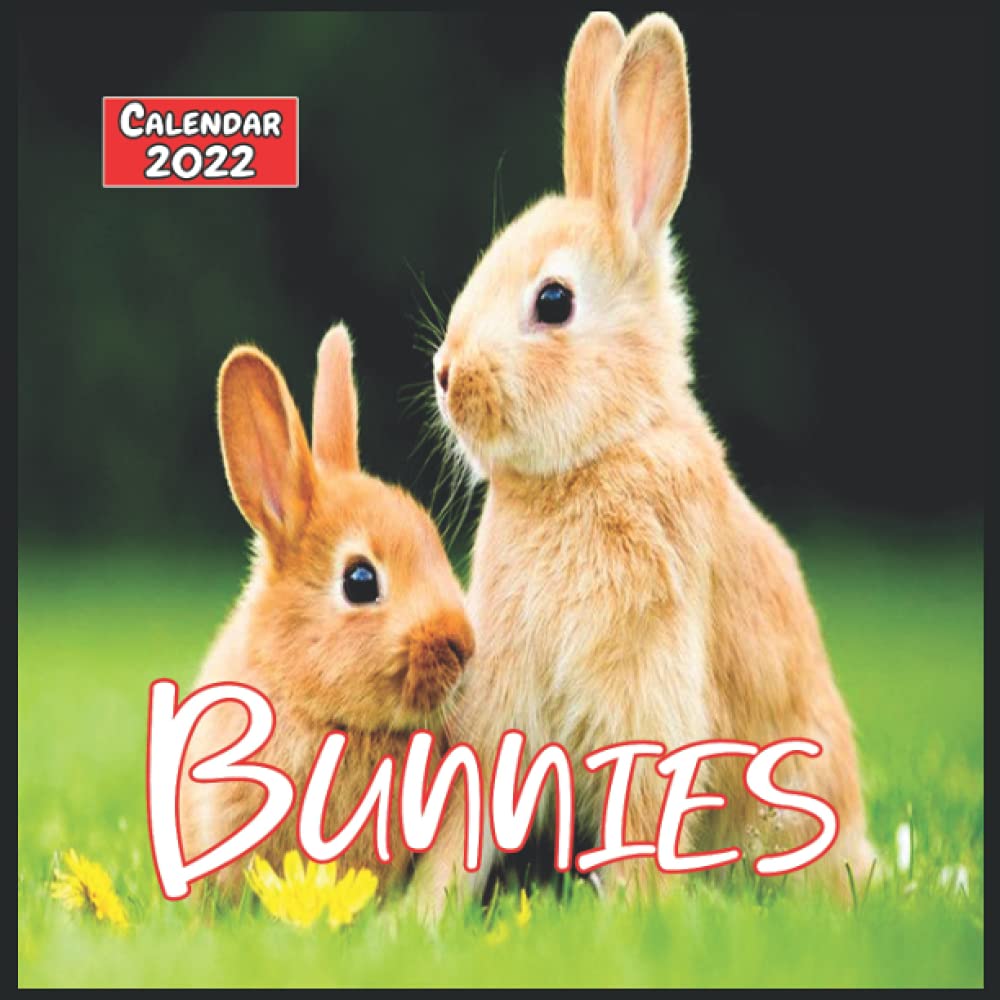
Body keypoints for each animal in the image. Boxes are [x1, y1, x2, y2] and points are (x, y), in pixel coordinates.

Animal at [413, 11, 875, 915]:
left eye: (554, 301)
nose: (449, 375)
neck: (600, 450)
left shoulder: (648, 678)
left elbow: (646, 812)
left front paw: (629, 917)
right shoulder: (502, 695)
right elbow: (465, 826)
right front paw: (418, 918)